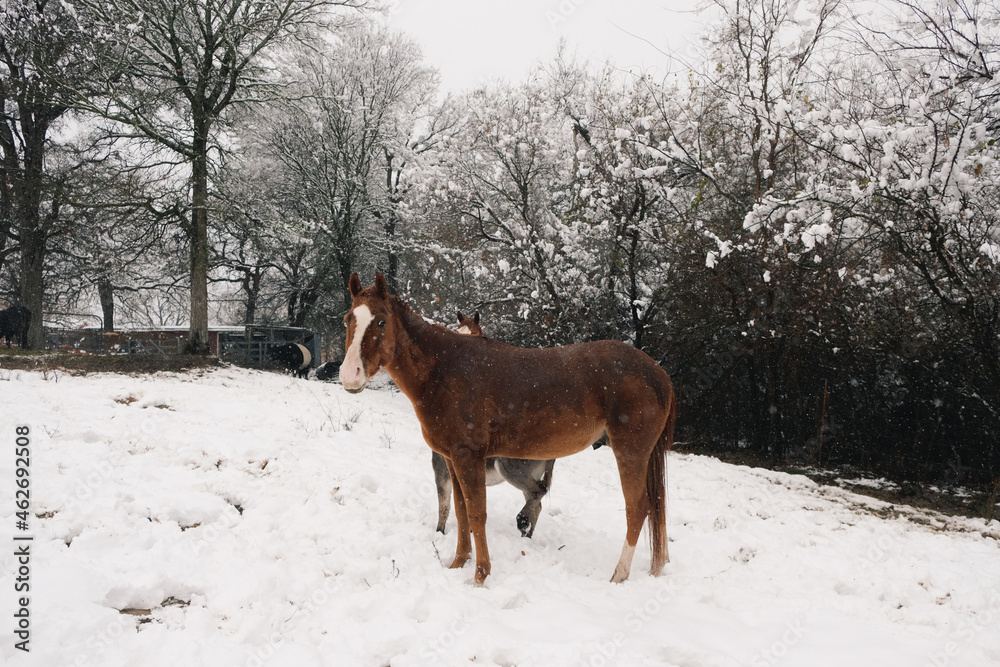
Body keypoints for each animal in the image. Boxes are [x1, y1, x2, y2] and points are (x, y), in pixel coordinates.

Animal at [432, 310, 556, 538]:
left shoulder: (442, 467)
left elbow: (444, 504)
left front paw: (439, 534)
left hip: (511, 469)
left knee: (538, 493)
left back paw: (521, 522)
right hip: (531, 473)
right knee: (537, 502)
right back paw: (526, 536)